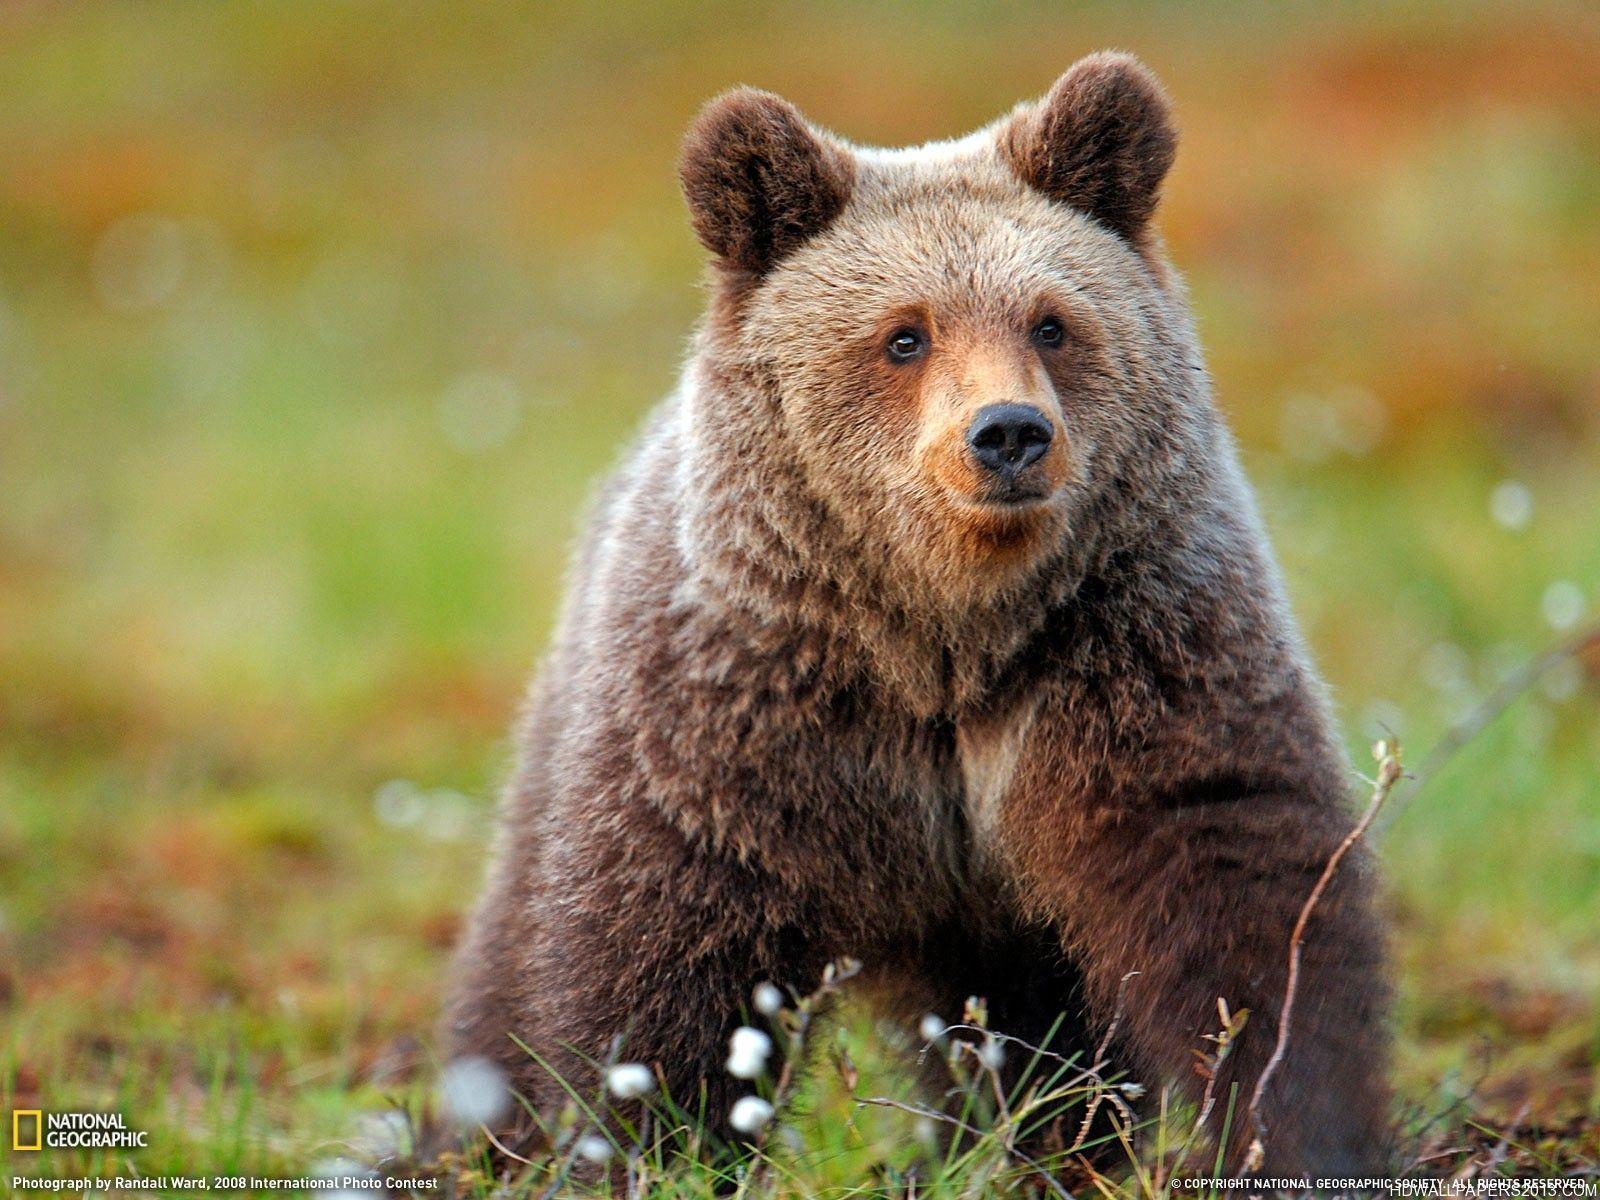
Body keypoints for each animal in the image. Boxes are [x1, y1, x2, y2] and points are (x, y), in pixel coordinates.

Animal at [445, 51, 1391, 1176]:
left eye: (1051, 322)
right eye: (904, 335)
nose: (1009, 433)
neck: (943, 638)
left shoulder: (1133, 654)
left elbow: (1240, 886)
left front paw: (1296, 1127)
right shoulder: (741, 712)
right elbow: (662, 946)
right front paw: (655, 1142)